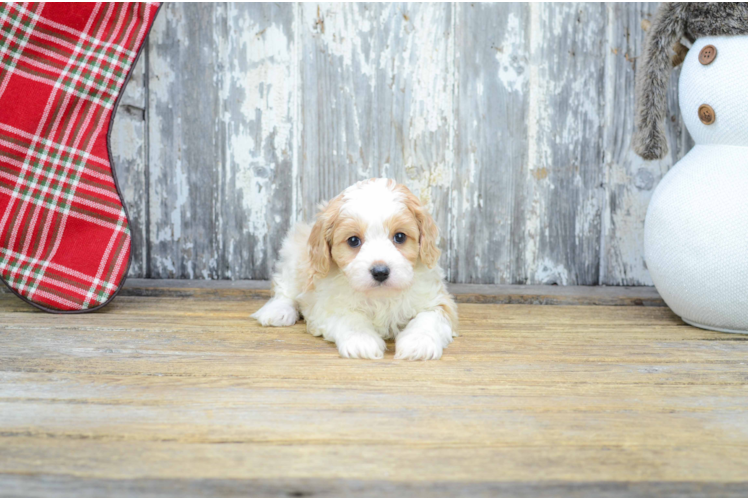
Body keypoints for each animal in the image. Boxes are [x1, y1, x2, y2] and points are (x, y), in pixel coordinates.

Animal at [253, 179, 456, 360]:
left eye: (400, 237)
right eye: (353, 241)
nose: (380, 272)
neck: (381, 297)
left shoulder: (437, 301)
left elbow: (428, 320)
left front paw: (419, 343)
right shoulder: (329, 306)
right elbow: (350, 319)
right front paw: (362, 341)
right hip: (295, 259)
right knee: (285, 288)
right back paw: (278, 311)